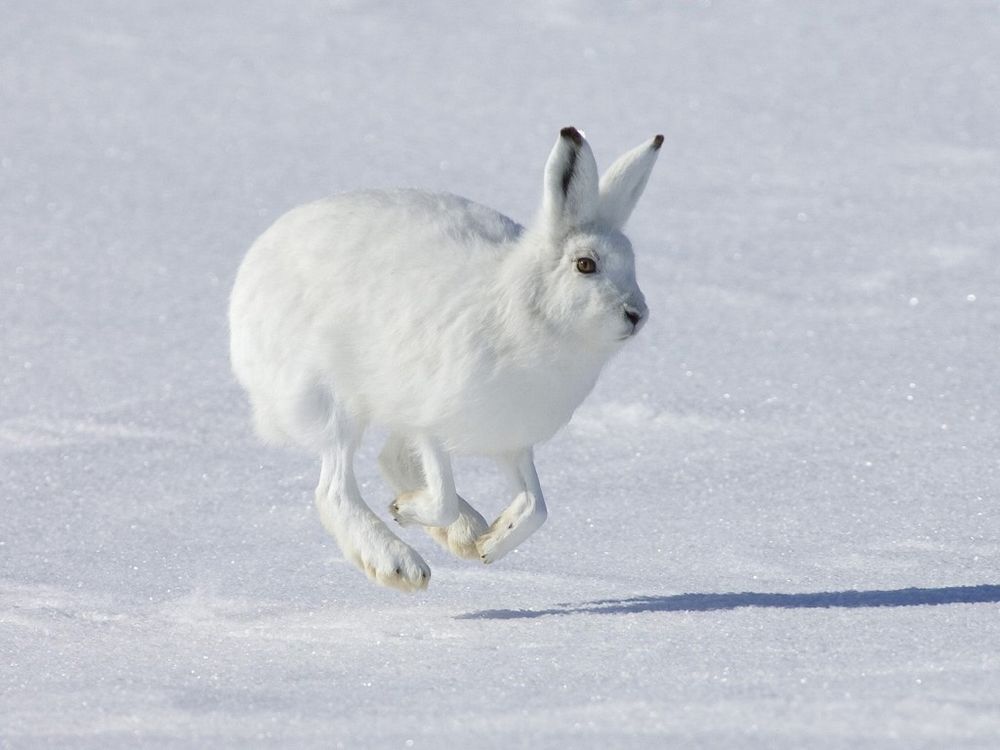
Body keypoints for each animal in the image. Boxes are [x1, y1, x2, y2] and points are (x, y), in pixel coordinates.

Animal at [229, 126, 662, 591]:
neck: (527, 312)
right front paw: (406, 512)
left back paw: (467, 533)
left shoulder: (512, 440)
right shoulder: (430, 421)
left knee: (389, 460)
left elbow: (536, 506)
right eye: (585, 265)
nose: (636, 314)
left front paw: (490, 544)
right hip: (332, 400)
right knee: (335, 489)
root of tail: (251, 271)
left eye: (632, 264)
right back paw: (399, 564)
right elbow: (443, 498)